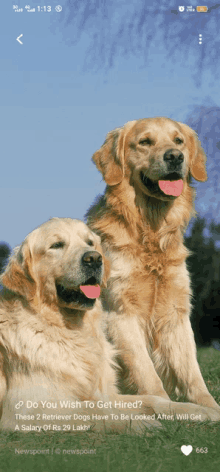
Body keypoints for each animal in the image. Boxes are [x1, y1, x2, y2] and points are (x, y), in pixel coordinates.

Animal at [0, 215, 219, 436]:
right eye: (56, 245)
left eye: (89, 242)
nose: (94, 258)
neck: (71, 329)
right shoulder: (25, 409)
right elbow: (93, 411)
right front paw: (139, 422)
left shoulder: (108, 394)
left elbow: (153, 399)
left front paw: (201, 410)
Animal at [86, 116, 220, 418]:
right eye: (145, 142)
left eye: (178, 140)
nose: (175, 157)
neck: (150, 231)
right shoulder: (121, 313)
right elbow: (147, 373)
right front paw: (170, 407)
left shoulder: (176, 312)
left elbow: (193, 373)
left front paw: (209, 406)